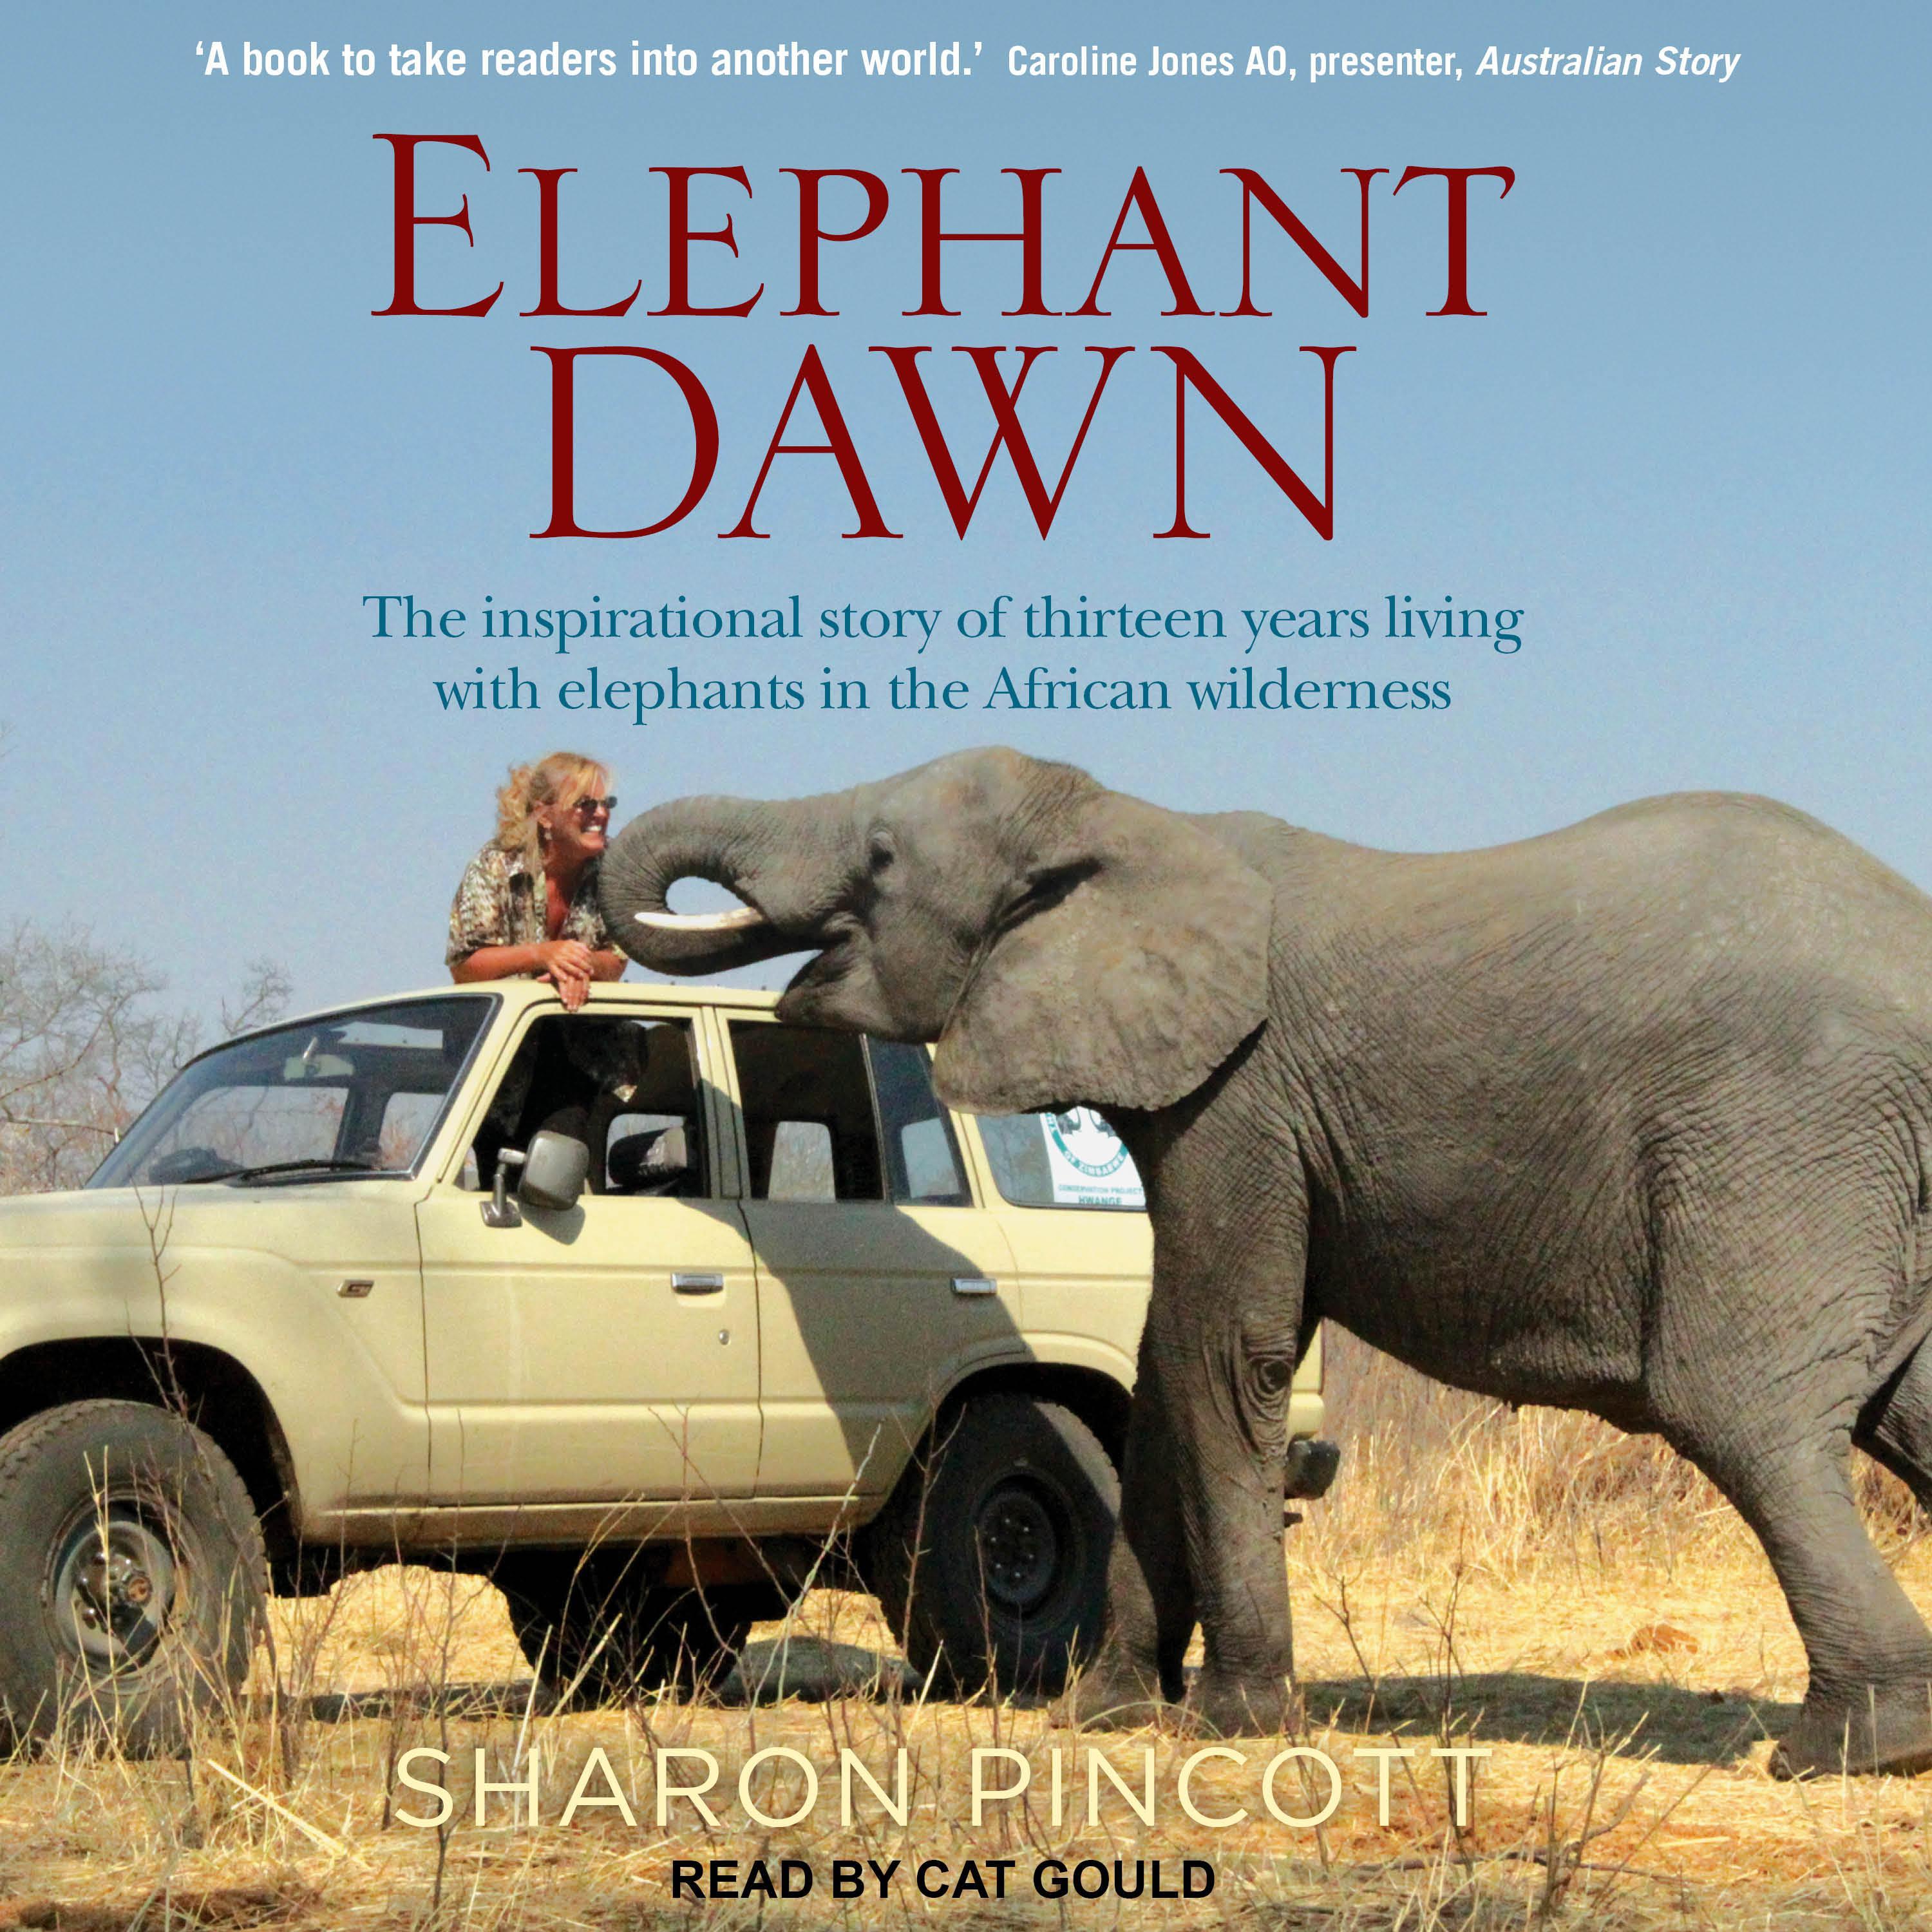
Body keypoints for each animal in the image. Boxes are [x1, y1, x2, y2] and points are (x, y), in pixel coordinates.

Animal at [599, 744, 1932, 1777]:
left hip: (1780, 1131)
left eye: (880, 858)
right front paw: (1105, 1713)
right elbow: (1153, 1380)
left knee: (1739, 1409)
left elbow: (1217, 1357)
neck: (1126, 817)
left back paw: (1850, 1750)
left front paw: (1229, 1723)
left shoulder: (1240, 1096)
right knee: (1907, 1412)